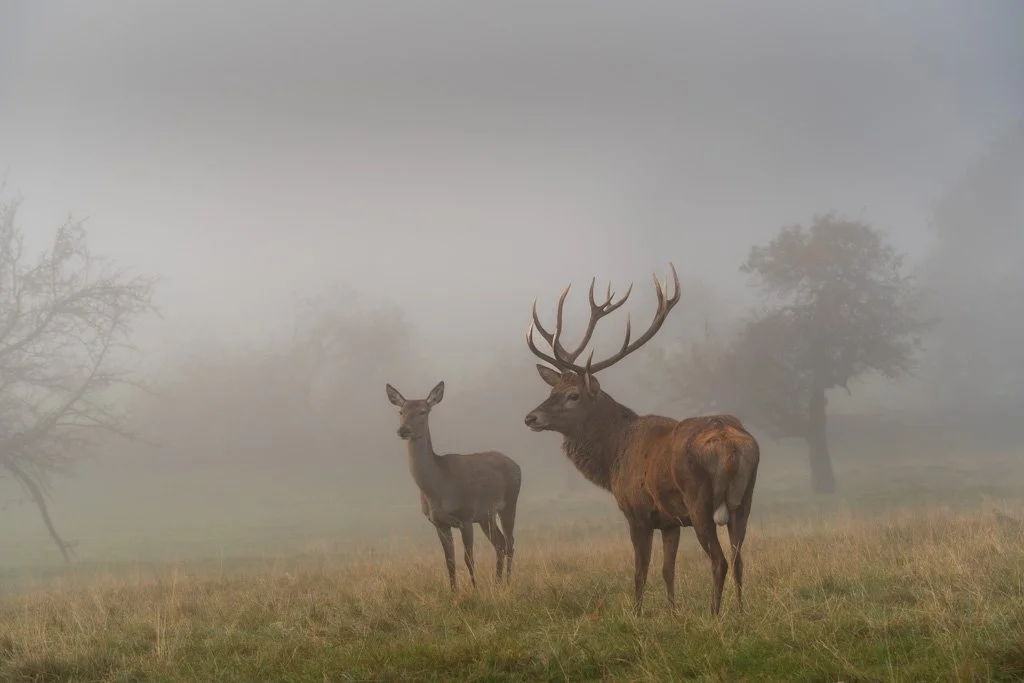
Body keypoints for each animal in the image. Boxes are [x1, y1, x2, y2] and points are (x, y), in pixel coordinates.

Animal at [385, 380, 522, 591]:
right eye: (401, 411)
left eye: (423, 411)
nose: (403, 430)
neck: (438, 489)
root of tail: (517, 466)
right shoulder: (438, 523)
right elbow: (449, 561)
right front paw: (454, 592)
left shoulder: (466, 516)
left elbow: (469, 559)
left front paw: (475, 590)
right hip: (486, 516)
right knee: (499, 544)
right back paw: (498, 582)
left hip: (509, 502)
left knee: (510, 543)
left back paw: (507, 582)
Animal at [522, 263, 760, 616]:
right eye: (553, 391)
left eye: (573, 395)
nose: (531, 418)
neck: (613, 458)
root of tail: (732, 447)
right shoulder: (670, 521)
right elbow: (667, 570)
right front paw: (673, 613)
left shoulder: (637, 511)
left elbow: (640, 570)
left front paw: (636, 614)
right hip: (744, 500)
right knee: (740, 558)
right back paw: (741, 612)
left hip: (700, 501)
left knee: (720, 560)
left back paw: (714, 615)